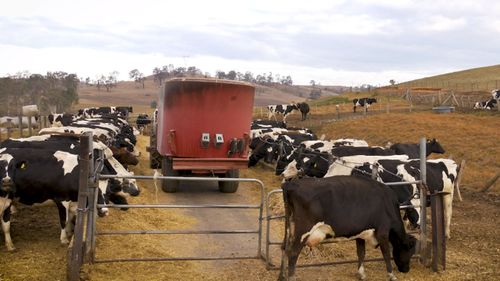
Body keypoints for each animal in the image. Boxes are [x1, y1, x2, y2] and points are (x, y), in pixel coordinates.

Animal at [280, 175, 416, 280]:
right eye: (409, 251)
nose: (406, 269)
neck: (388, 204)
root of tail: (291, 184)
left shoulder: (361, 233)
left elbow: (361, 253)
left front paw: (361, 274)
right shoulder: (382, 231)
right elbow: (386, 254)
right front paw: (391, 275)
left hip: (290, 228)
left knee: (285, 248)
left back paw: (282, 276)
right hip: (303, 230)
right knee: (293, 253)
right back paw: (291, 277)